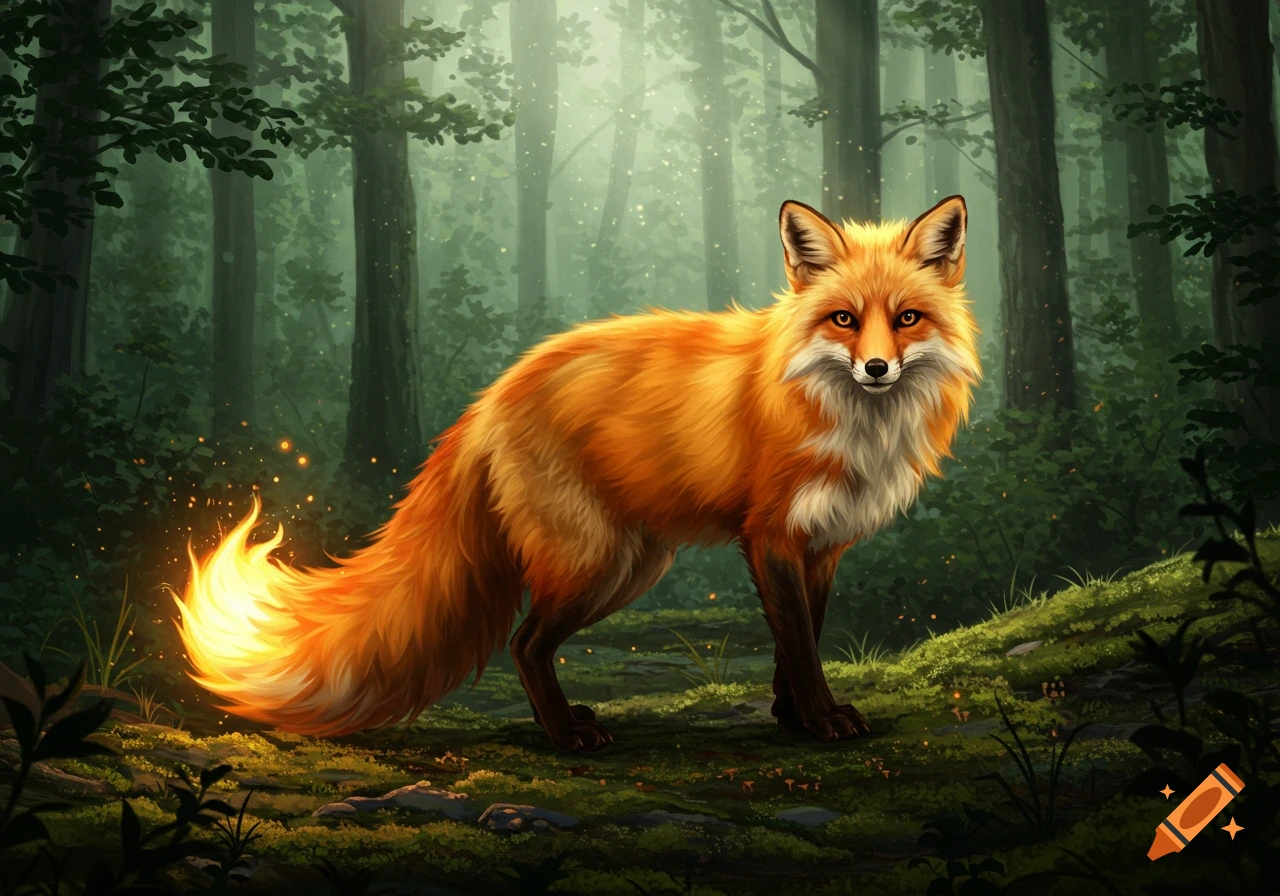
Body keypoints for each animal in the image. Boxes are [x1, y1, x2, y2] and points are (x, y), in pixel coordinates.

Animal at [175, 196, 981, 752]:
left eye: (906, 319)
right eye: (844, 320)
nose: (875, 368)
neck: (849, 423)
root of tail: (492, 394)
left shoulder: (821, 545)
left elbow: (799, 640)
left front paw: (790, 715)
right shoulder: (772, 536)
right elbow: (802, 647)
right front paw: (818, 719)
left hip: (629, 562)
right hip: (600, 562)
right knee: (524, 643)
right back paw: (566, 736)